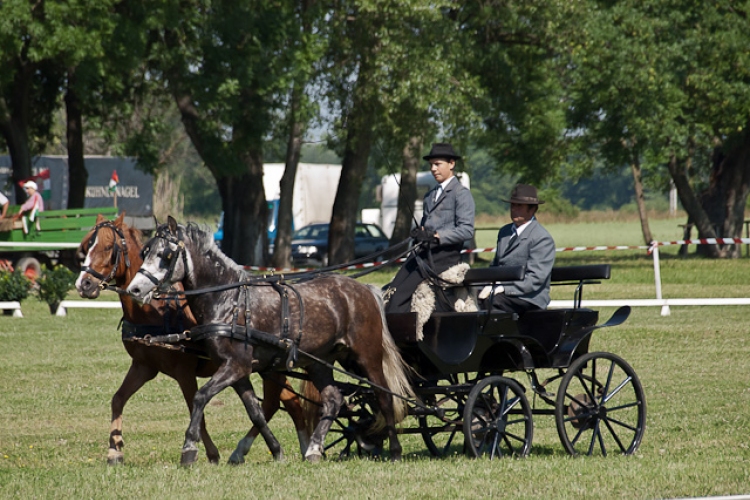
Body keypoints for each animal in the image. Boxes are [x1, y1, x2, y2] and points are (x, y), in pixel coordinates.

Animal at [75, 214, 310, 464]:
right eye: (86, 247)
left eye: (109, 247)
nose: (84, 284)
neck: (153, 310)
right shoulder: (144, 366)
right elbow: (118, 399)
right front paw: (115, 451)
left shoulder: (184, 371)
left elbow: (195, 406)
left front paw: (204, 452)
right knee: (283, 403)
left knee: (281, 403)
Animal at [129, 219, 412, 464]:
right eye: (145, 251)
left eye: (165, 255)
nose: (134, 289)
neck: (229, 301)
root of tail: (365, 289)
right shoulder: (238, 371)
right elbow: (255, 411)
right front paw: (275, 451)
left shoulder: (235, 366)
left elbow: (200, 397)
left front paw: (189, 449)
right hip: (319, 361)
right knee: (333, 399)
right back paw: (313, 450)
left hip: (367, 357)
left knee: (385, 398)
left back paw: (395, 451)